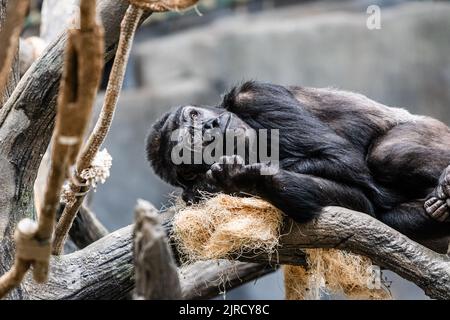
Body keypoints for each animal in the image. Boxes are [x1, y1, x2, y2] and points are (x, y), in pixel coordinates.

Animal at [148, 81, 450, 246]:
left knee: (387, 154)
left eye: (194, 114)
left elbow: (337, 156)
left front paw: (243, 178)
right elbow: (359, 201)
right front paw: (246, 181)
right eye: (190, 142)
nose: (210, 125)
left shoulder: (258, 97)